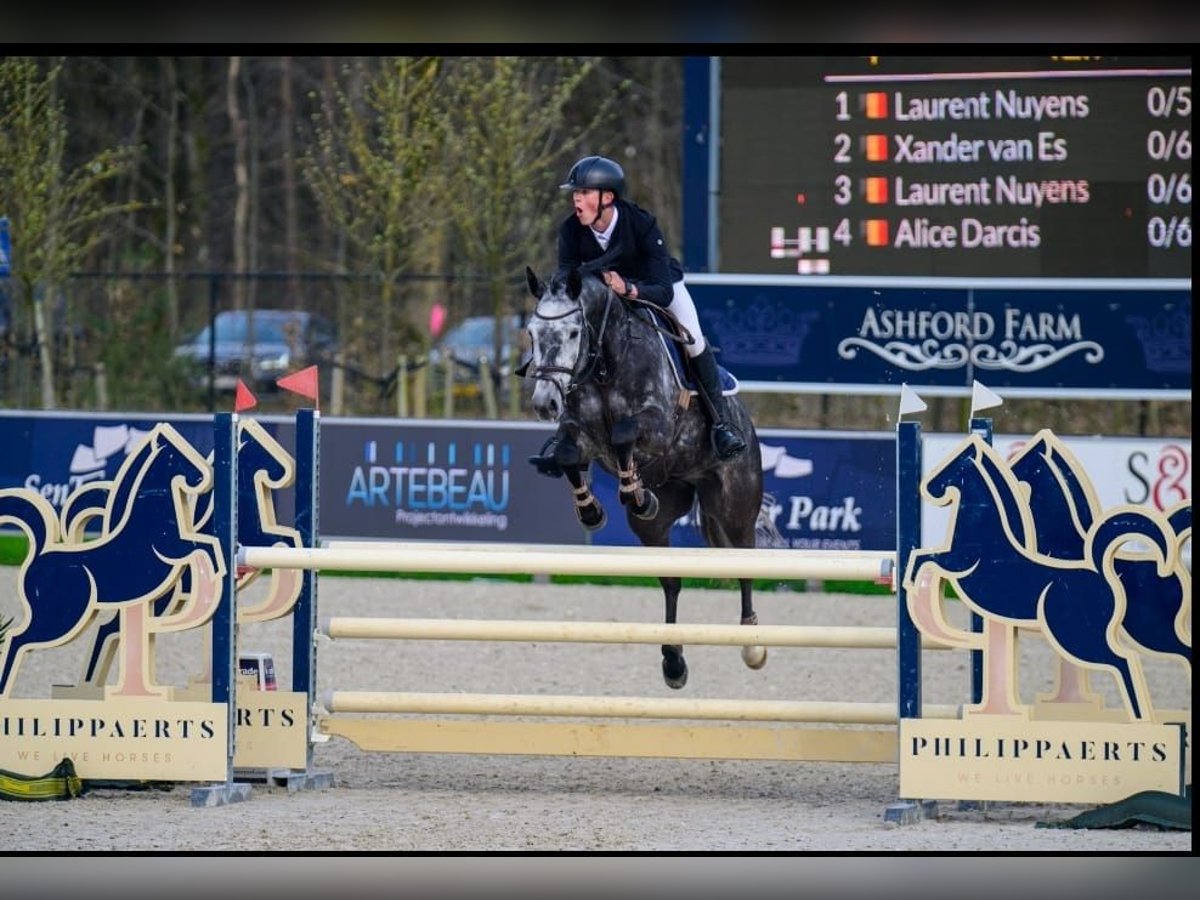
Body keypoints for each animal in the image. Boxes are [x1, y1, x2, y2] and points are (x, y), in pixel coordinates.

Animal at [523, 267, 777, 691]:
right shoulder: (580, 433)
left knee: (745, 564)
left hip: (734, 506)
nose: (545, 404)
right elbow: (568, 455)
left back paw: (752, 644)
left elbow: (624, 434)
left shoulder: (658, 428)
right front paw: (593, 510)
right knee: (671, 580)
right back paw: (673, 661)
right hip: (659, 520)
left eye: (574, 333)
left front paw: (633, 492)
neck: (605, 362)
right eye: (531, 333)